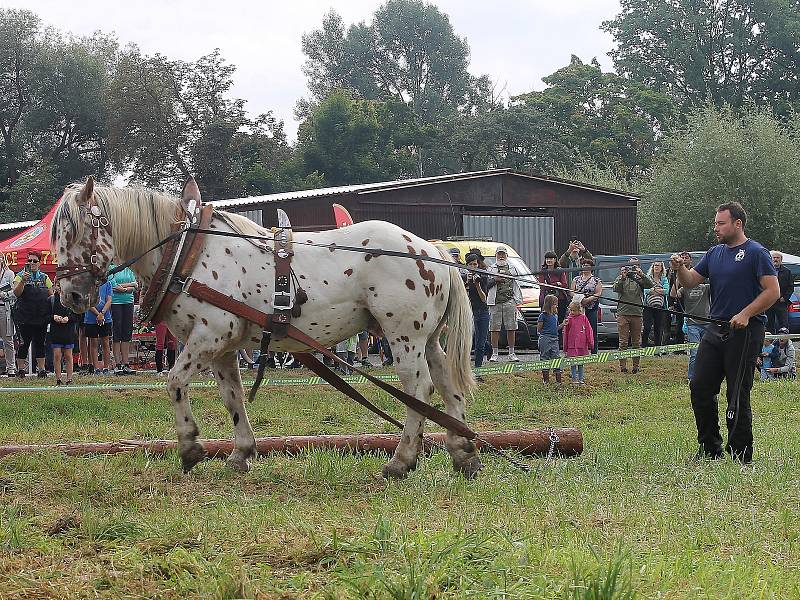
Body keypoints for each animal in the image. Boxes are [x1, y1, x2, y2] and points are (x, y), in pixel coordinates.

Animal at [53, 178, 484, 478]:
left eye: (73, 231)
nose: (69, 295)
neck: (186, 256)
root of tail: (432, 250)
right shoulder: (224, 347)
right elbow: (233, 398)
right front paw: (241, 453)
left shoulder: (210, 334)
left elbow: (174, 382)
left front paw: (190, 446)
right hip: (428, 338)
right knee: (447, 384)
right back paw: (463, 452)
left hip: (403, 335)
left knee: (419, 389)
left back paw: (401, 460)